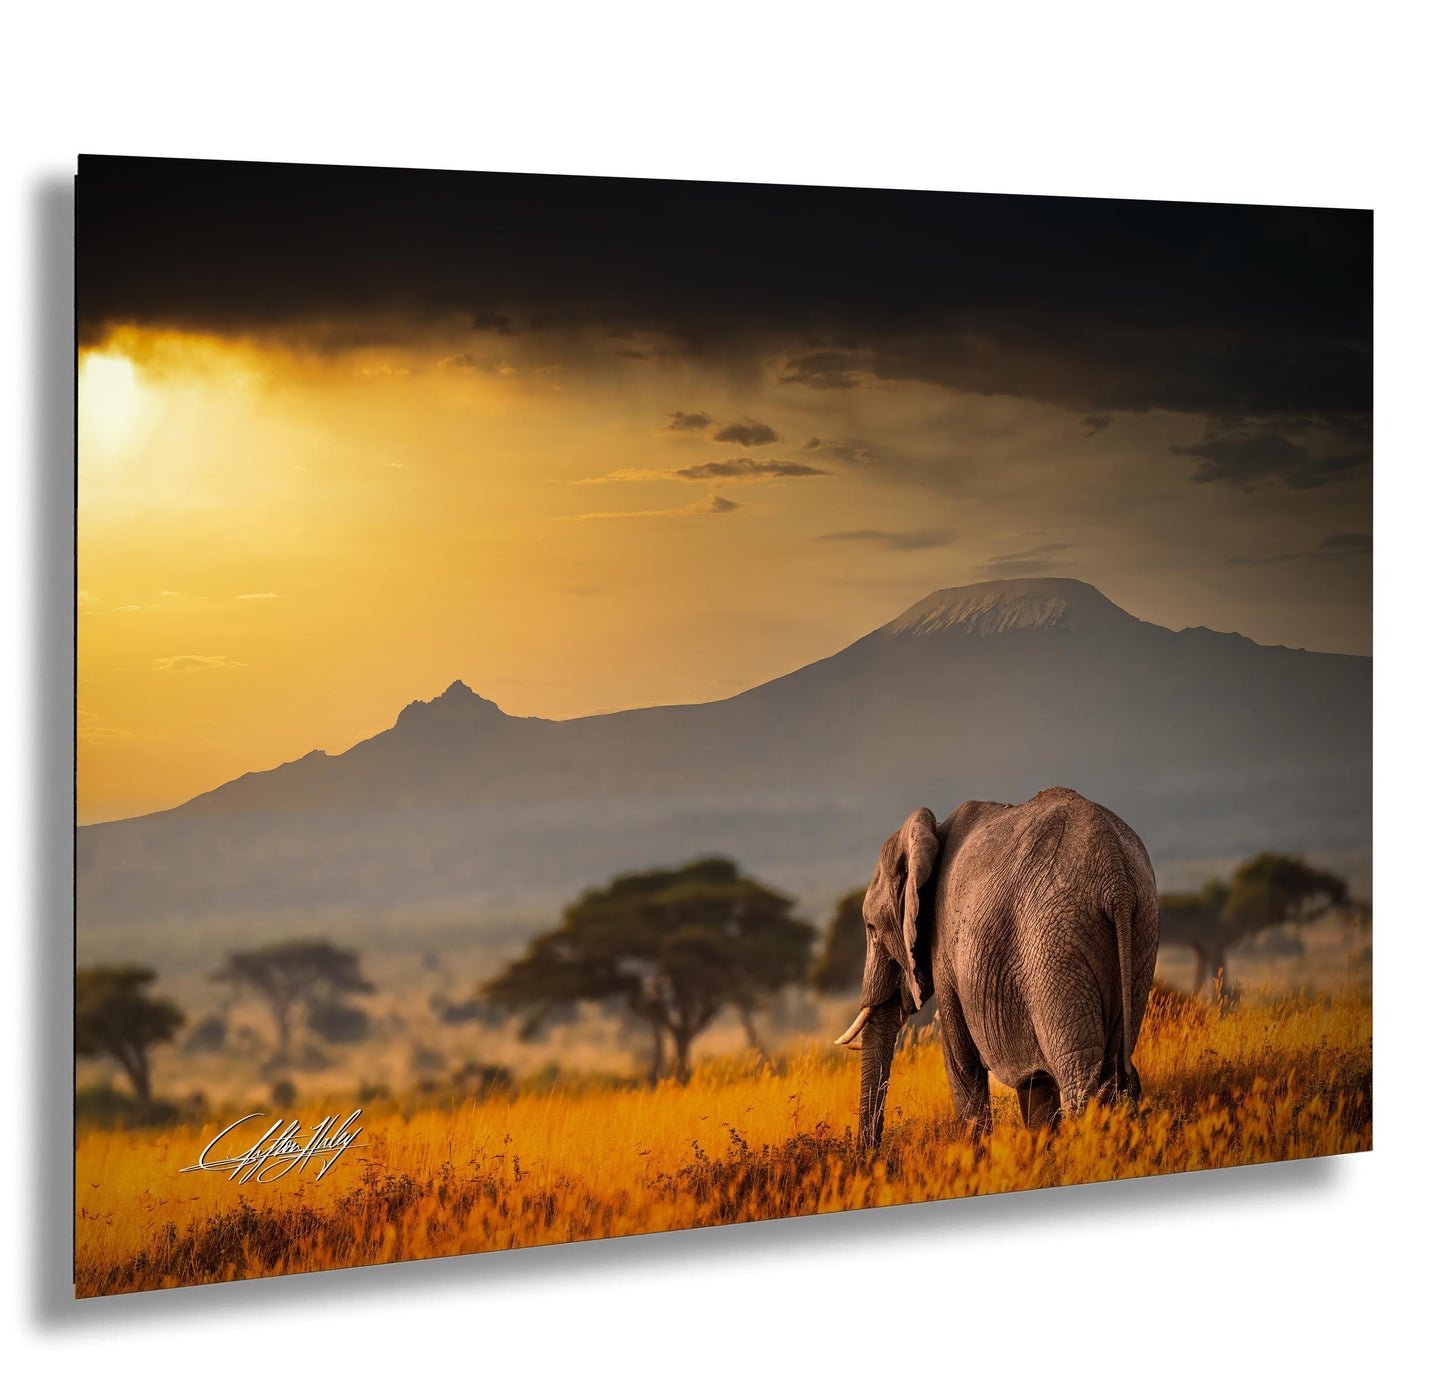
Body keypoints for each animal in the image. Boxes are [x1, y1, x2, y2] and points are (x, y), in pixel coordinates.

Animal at [835, 787, 1158, 1147]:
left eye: (872, 929)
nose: (869, 1153)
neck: (931, 833)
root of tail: (1116, 878)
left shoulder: (945, 950)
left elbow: (961, 1062)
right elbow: (1035, 1086)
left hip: (1055, 944)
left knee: (1078, 1071)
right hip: (1142, 931)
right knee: (1116, 1066)